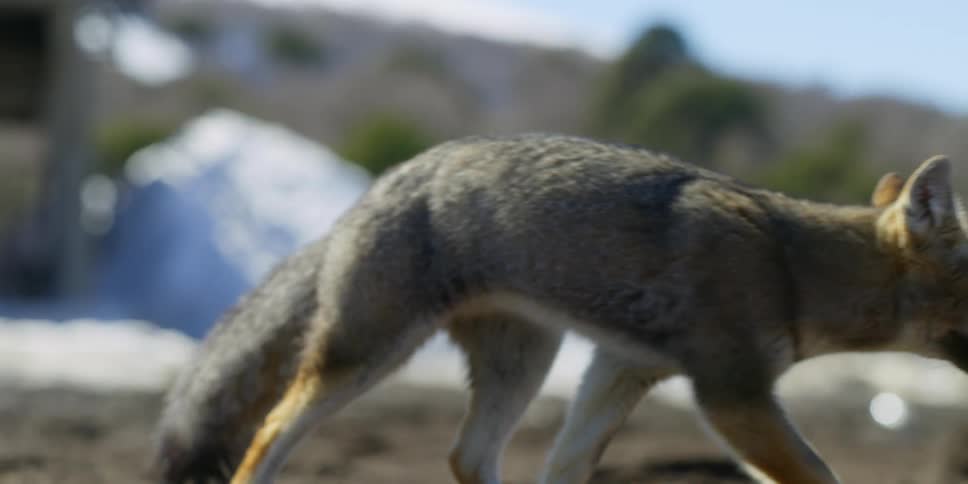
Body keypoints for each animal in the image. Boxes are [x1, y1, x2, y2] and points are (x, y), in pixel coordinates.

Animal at [154, 133, 968, 484]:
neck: (790, 266)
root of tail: (381, 182)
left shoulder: (621, 369)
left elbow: (565, 468)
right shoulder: (732, 394)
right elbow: (822, 473)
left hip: (526, 362)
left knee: (467, 454)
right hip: (364, 358)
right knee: (268, 432)